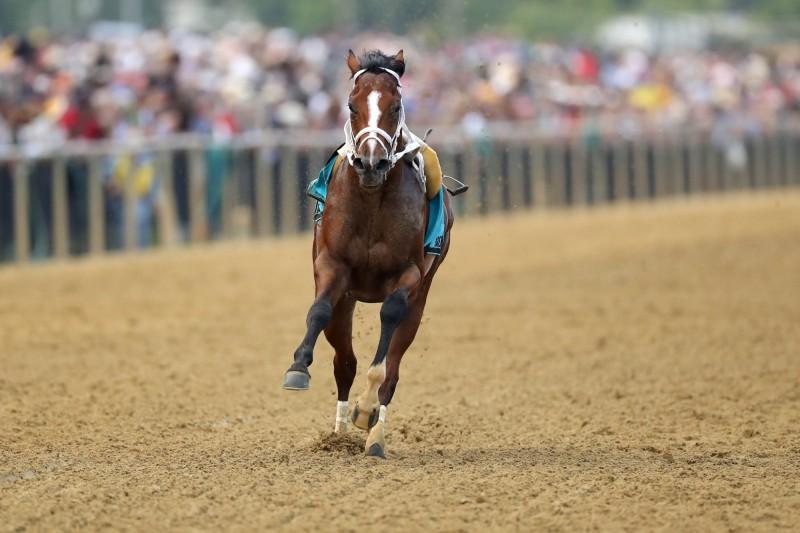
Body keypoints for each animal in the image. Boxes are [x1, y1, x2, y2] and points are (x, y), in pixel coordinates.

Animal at [282, 50, 456, 458]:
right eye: (351, 105)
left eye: (395, 106)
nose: (371, 162)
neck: (372, 199)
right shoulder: (331, 266)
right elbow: (319, 312)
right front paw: (297, 368)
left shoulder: (410, 274)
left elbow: (388, 329)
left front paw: (367, 408)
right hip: (347, 299)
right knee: (344, 362)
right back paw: (338, 434)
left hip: (421, 296)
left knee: (393, 366)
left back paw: (374, 435)